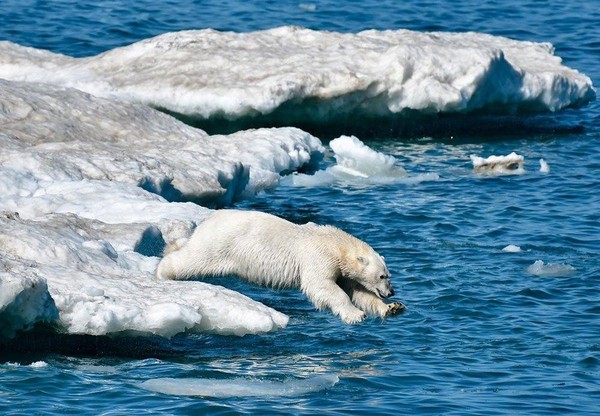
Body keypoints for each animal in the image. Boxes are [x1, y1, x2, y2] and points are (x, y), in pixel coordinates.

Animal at [157, 210, 406, 324]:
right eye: (382, 276)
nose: (392, 291)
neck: (336, 244)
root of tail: (207, 221)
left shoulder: (343, 269)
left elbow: (358, 291)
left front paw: (392, 308)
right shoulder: (318, 257)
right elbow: (323, 286)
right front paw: (355, 315)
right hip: (219, 243)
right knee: (193, 258)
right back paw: (163, 271)